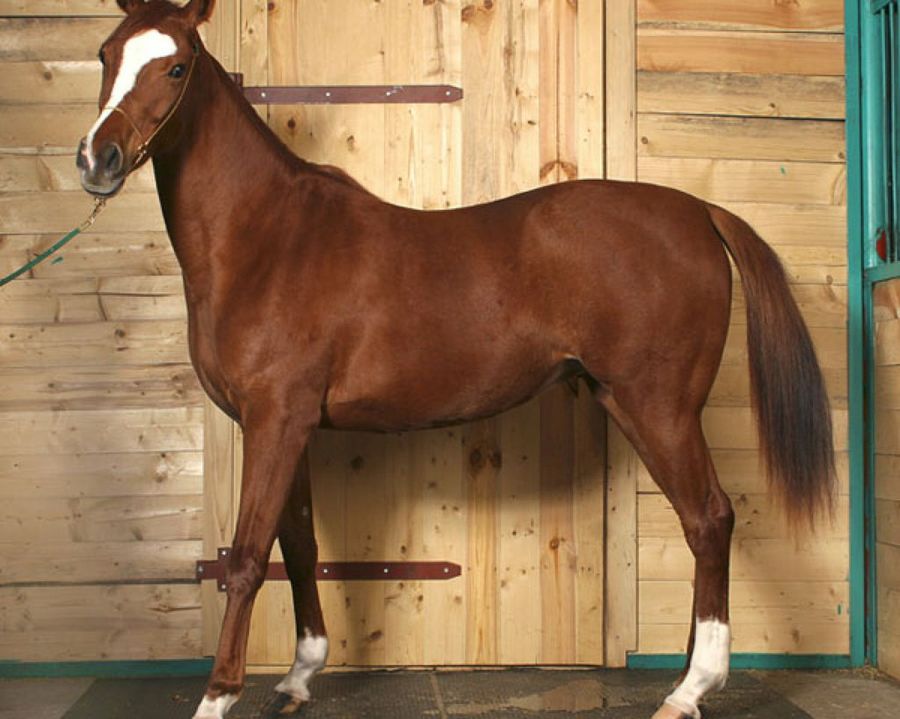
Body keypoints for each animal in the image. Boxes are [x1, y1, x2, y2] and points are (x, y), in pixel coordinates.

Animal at [76, 2, 836, 718]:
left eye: (176, 68)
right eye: (106, 53)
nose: (97, 159)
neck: (268, 238)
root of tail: (699, 211)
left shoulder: (273, 420)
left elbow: (245, 557)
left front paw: (217, 695)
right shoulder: (285, 427)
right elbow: (298, 545)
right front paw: (297, 678)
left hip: (660, 406)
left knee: (709, 519)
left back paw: (690, 687)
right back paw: (689, 677)